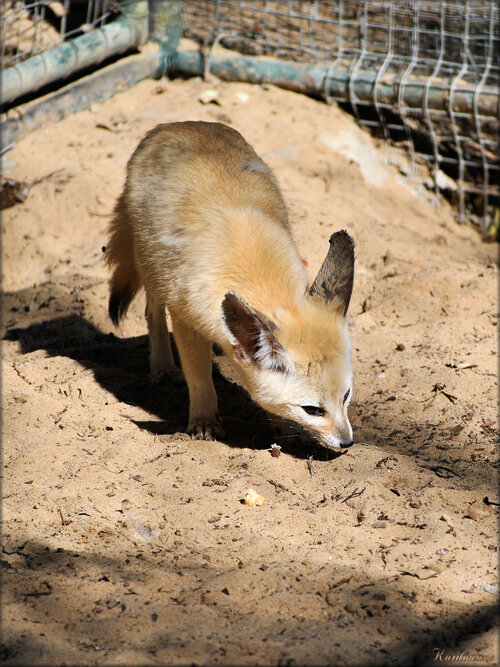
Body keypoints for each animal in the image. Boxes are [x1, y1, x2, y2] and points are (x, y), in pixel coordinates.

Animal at [106, 122, 356, 452]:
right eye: (313, 410)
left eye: (346, 396)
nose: (347, 443)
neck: (256, 270)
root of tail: (173, 125)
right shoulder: (187, 320)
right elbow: (199, 377)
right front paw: (204, 421)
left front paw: (279, 427)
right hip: (151, 268)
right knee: (153, 313)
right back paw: (163, 366)